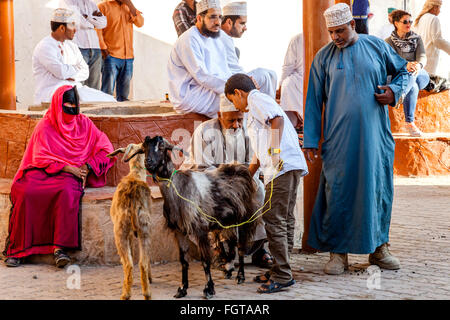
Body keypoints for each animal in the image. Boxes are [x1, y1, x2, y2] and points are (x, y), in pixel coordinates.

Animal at [107, 144, 153, 302]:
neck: (135, 174)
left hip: (120, 230)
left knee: (128, 264)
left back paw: (125, 294)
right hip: (145, 229)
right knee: (143, 262)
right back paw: (147, 293)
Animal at [141, 136, 260, 300]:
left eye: (162, 146)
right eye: (144, 147)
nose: (148, 162)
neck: (177, 189)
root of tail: (239, 168)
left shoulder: (200, 229)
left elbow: (205, 260)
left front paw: (209, 289)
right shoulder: (179, 231)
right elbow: (183, 260)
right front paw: (182, 289)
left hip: (244, 217)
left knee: (241, 246)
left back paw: (240, 276)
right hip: (227, 222)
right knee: (232, 242)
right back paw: (229, 269)